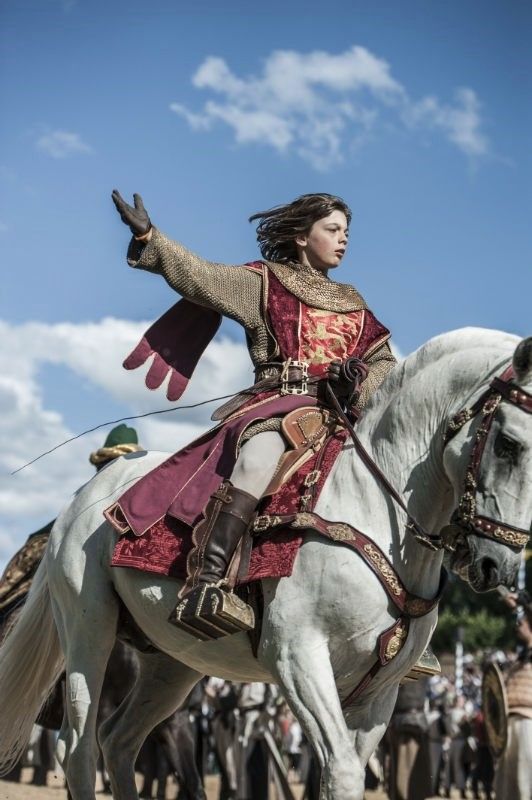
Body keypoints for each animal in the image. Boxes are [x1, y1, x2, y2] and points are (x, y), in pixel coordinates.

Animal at [1, 326, 532, 800]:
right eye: (509, 443)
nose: (499, 567)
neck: (369, 504)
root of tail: (83, 498)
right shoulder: (297, 656)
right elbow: (342, 773)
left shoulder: (379, 691)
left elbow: (340, 772)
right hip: (88, 629)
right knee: (77, 749)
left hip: (172, 663)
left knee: (119, 741)